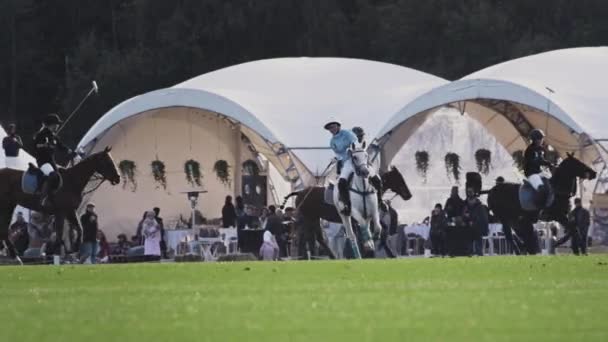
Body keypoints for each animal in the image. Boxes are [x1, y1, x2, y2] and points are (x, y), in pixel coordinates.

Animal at [282, 166, 410, 260]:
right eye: (399, 178)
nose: (409, 195)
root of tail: (299, 192)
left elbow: (382, 228)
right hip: (310, 218)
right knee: (310, 237)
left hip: (313, 218)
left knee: (313, 237)